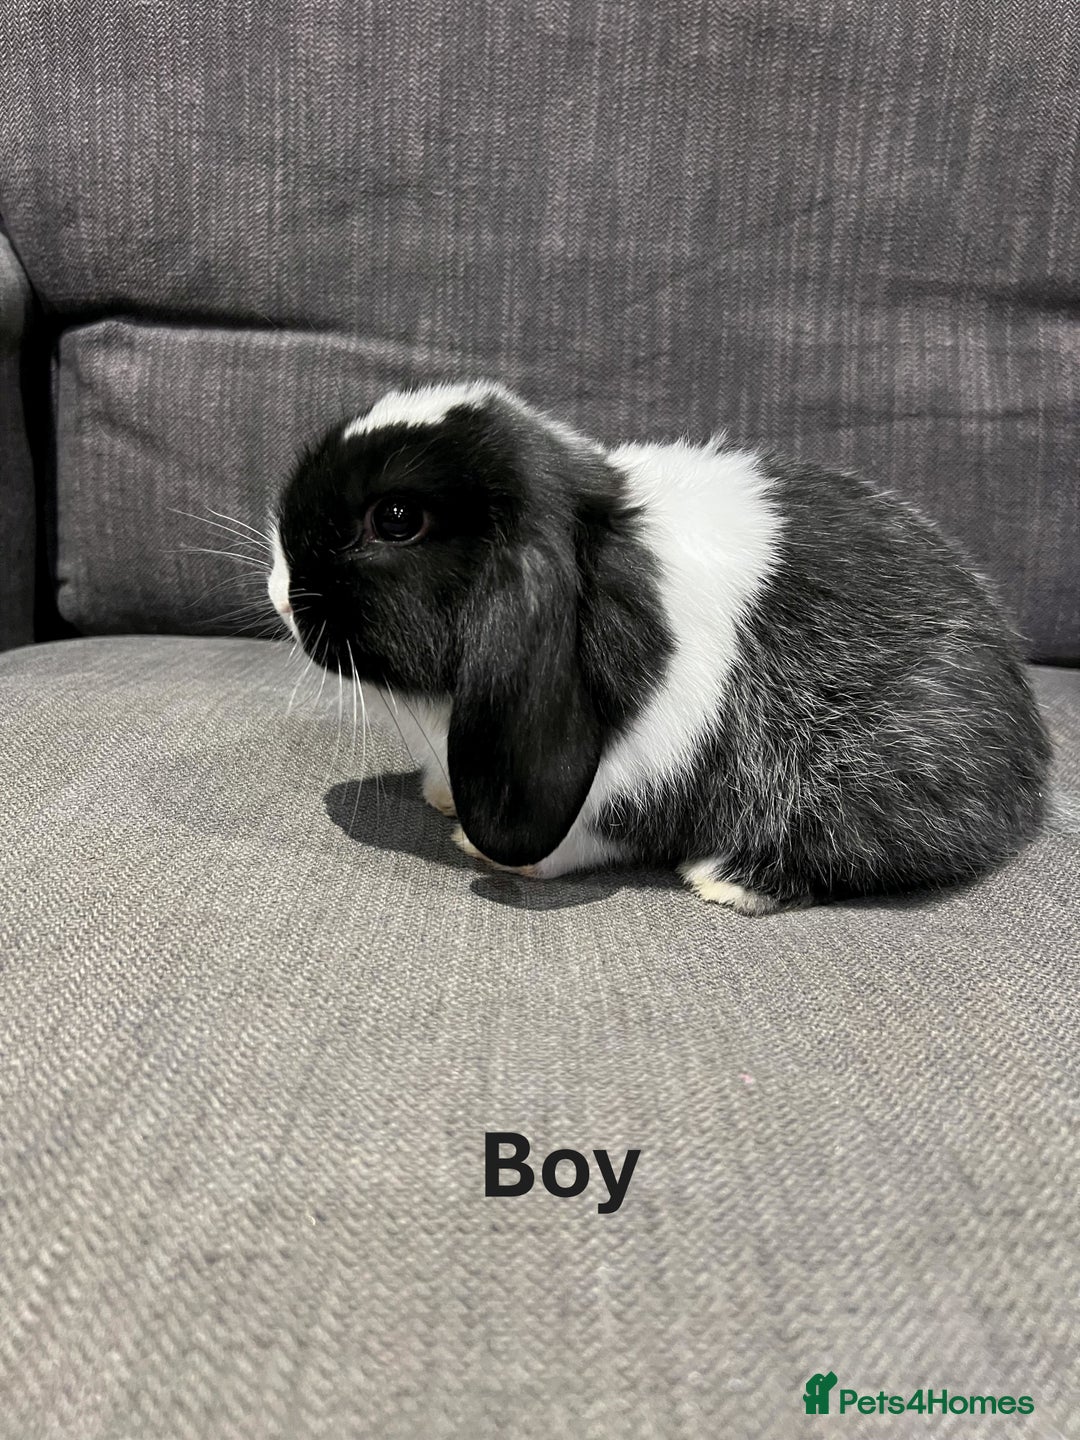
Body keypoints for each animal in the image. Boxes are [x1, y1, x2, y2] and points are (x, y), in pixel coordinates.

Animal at [268, 379, 1051, 913]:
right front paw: (441, 800)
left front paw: (490, 852)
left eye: (397, 518)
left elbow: (599, 829)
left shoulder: (645, 768)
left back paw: (728, 881)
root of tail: (1029, 762)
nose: (277, 587)